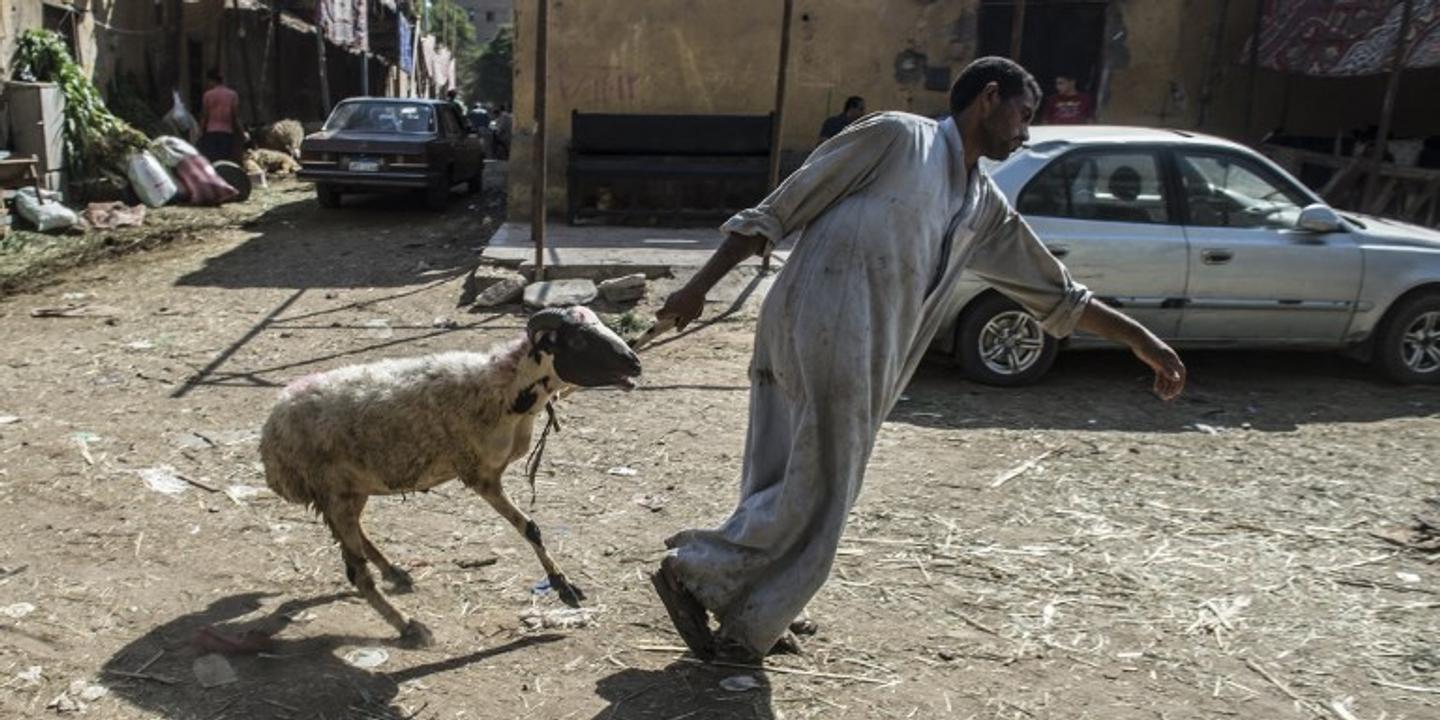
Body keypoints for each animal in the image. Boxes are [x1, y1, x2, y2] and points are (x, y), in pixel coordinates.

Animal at [260, 306, 642, 645]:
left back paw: (395, 573)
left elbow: (531, 529)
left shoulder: (487, 473)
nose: (635, 363)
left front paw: (565, 586)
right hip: (334, 491)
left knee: (356, 536)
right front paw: (564, 588)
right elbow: (530, 528)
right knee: (357, 573)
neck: (505, 388)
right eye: (577, 340)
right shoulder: (479, 474)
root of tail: (271, 431)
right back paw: (410, 627)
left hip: (351, 489)